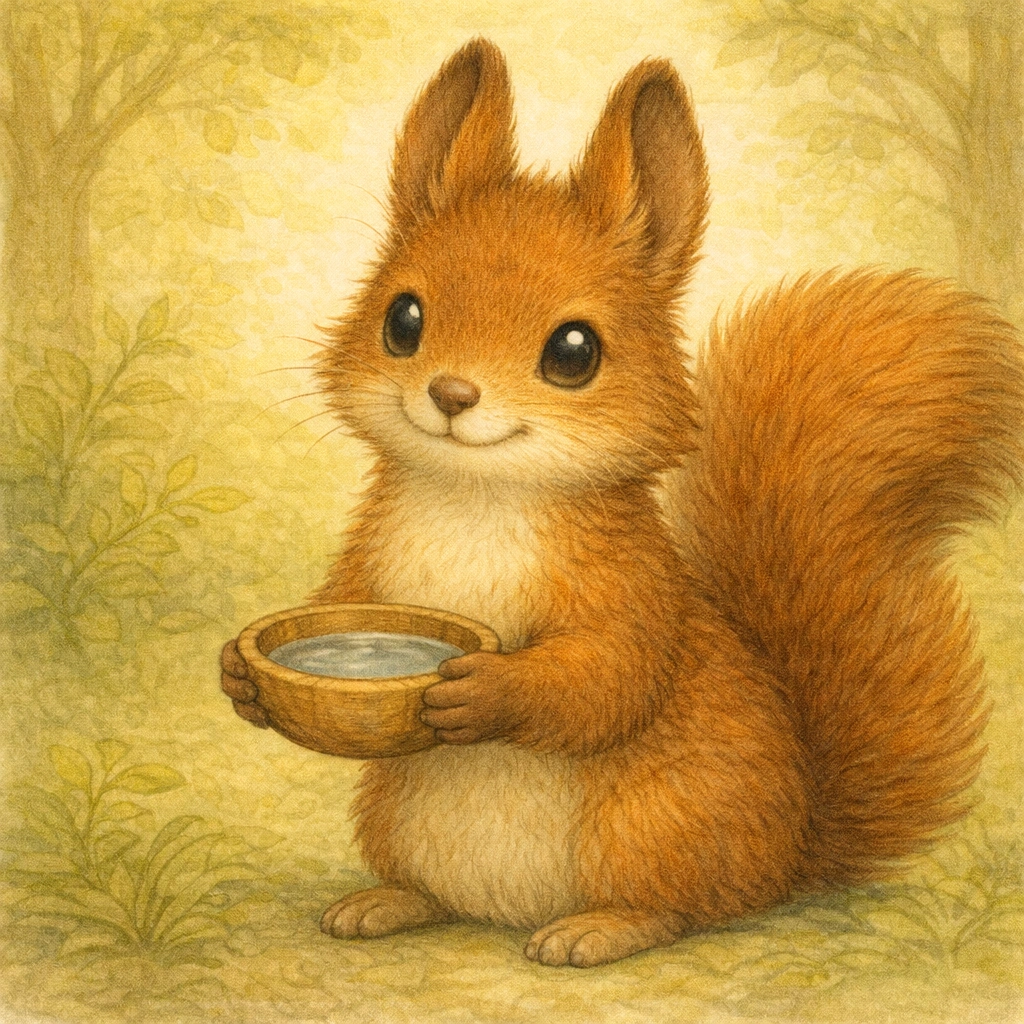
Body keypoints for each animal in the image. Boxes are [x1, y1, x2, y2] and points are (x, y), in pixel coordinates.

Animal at [221, 38, 1024, 967]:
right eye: (402, 318)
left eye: (575, 351)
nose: (451, 394)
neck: (479, 495)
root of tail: (793, 856)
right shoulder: (370, 566)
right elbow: (334, 602)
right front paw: (239, 672)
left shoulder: (632, 584)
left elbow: (610, 677)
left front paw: (488, 692)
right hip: (396, 813)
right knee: (439, 894)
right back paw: (388, 902)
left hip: (653, 821)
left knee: (684, 908)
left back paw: (598, 929)